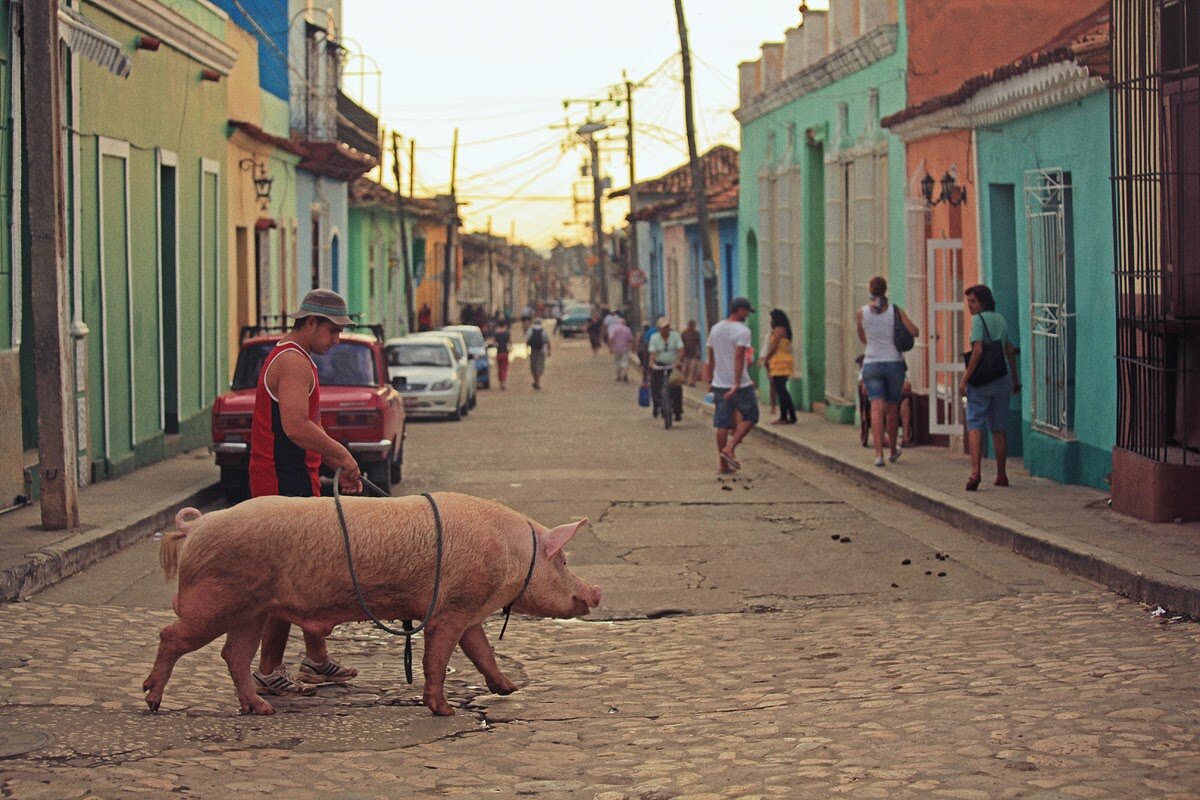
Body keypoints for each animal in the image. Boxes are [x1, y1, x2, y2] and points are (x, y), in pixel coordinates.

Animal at [141, 491, 604, 714]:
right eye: (563, 560)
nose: (597, 592)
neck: (512, 555)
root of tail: (199, 525)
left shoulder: (466, 612)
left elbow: (482, 652)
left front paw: (508, 689)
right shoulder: (450, 610)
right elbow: (437, 657)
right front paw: (444, 711)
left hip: (251, 611)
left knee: (233, 655)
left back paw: (261, 709)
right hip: (216, 601)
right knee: (170, 636)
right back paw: (152, 701)